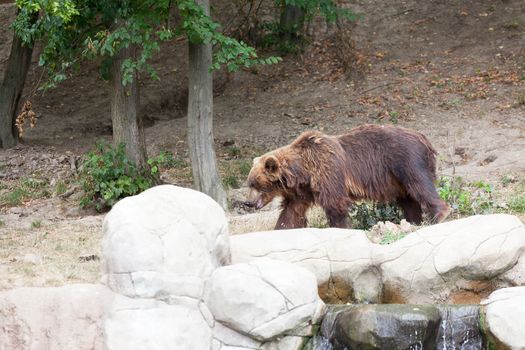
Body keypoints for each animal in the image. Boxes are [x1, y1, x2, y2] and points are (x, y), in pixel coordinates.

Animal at [244, 123, 448, 230]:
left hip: (406, 161)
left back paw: (437, 216)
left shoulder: (328, 171)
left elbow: (335, 203)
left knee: (420, 186)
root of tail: (424, 137)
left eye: (255, 184)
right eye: (249, 183)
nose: (247, 202)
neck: (304, 172)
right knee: (407, 199)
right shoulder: (303, 191)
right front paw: (280, 228)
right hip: (396, 179)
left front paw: (339, 227)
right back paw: (414, 221)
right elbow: (291, 212)